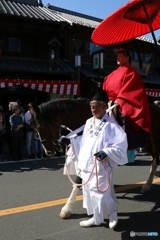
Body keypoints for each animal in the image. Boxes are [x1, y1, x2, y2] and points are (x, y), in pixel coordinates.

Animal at [31, 98, 160, 218]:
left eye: (41, 127)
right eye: (35, 129)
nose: (48, 152)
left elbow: (79, 178)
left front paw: (67, 208)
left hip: (155, 141)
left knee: (155, 161)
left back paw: (147, 185)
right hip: (147, 143)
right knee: (154, 160)